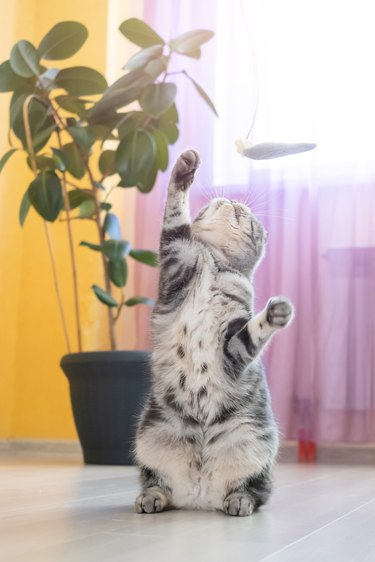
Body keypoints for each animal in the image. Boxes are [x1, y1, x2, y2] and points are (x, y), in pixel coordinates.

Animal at [134, 150, 296, 516]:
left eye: (248, 217)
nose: (233, 199)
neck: (215, 265)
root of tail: (199, 496)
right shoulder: (176, 256)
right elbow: (175, 210)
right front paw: (185, 168)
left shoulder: (233, 344)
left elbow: (254, 331)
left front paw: (276, 313)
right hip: (149, 438)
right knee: (156, 481)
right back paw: (150, 498)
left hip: (255, 443)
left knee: (255, 490)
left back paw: (239, 500)